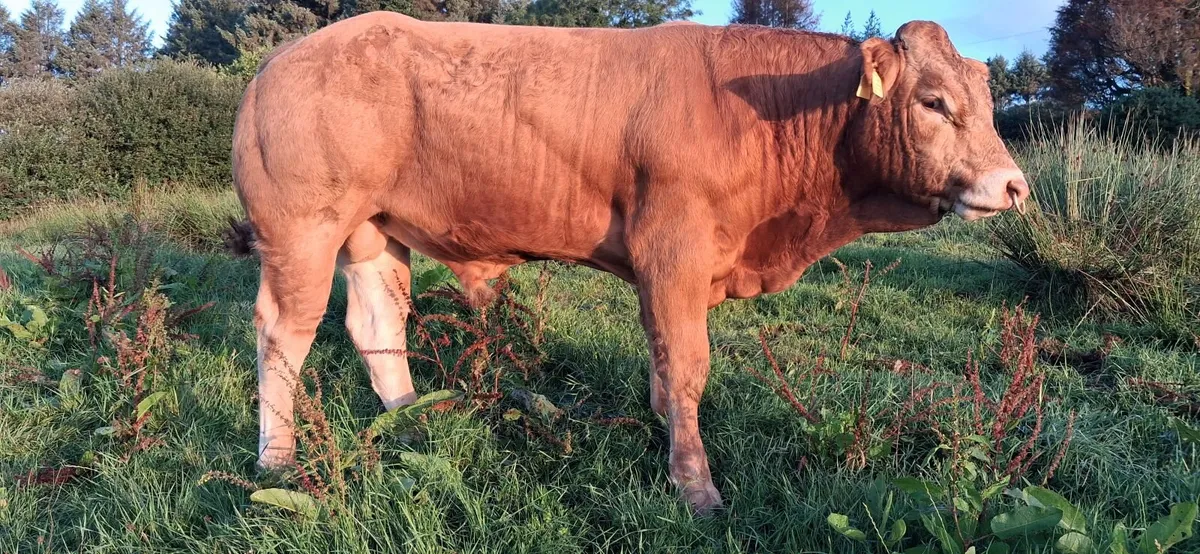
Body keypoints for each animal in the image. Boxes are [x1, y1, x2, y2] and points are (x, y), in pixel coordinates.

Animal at [228, 11, 1028, 514]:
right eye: (934, 102)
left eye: (988, 103)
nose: (1014, 185)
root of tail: (279, 62)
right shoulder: (673, 250)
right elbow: (688, 362)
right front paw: (695, 487)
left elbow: (664, 359)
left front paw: (664, 426)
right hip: (303, 229)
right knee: (282, 335)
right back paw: (276, 459)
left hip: (372, 231)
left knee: (376, 323)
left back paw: (410, 420)